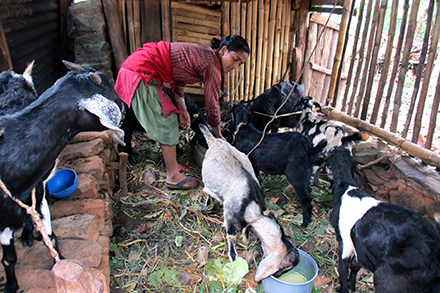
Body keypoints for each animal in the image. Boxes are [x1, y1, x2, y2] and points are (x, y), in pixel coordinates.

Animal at [0, 60, 124, 292]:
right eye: (111, 93)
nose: (125, 107)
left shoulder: (37, 192)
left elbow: (50, 238)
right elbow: (8, 258)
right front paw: (11, 285)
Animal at [200, 122, 300, 280]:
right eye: (285, 266)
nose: (277, 275)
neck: (251, 202)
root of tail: (215, 141)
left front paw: (246, 237)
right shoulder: (228, 211)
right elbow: (231, 234)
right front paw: (233, 257)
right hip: (207, 179)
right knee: (207, 190)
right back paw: (208, 203)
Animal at [316, 146, 440, 292]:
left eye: (330, 154)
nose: (333, 147)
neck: (347, 188)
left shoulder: (345, 241)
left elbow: (343, 271)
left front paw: (344, 288)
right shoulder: (360, 246)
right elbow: (355, 265)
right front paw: (352, 285)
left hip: (390, 280)